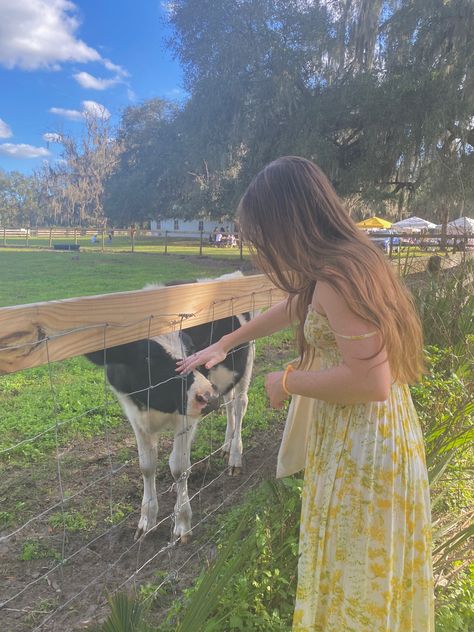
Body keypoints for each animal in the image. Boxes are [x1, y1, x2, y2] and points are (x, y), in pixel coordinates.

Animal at [86, 272, 256, 544]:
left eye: (191, 348)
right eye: (148, 358)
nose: (207, 396)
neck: (152, 401)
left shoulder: (186, 417)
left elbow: (179, 467)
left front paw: (182, 523)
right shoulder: (135, 417)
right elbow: (147, 466)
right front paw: (147, 521)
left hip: (246, 364)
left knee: (240, 405)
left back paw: (235, 457)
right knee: (229, 405)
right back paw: (227, 445)